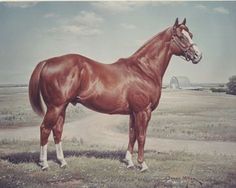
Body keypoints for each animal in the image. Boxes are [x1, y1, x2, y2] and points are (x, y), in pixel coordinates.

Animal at [28, 18, 202, 172]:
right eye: (181, 37)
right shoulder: (143, 111)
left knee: (57, 130)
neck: (143, 69)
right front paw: (142, 165)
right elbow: (141, 136)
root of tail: (47, 62)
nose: (198, 55)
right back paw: (44, 164)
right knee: (45, 129)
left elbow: (132, 135)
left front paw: (129, 162)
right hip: (55, 107)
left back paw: (62, 162)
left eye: (191, 34)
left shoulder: (133, 112)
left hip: (61, 107)